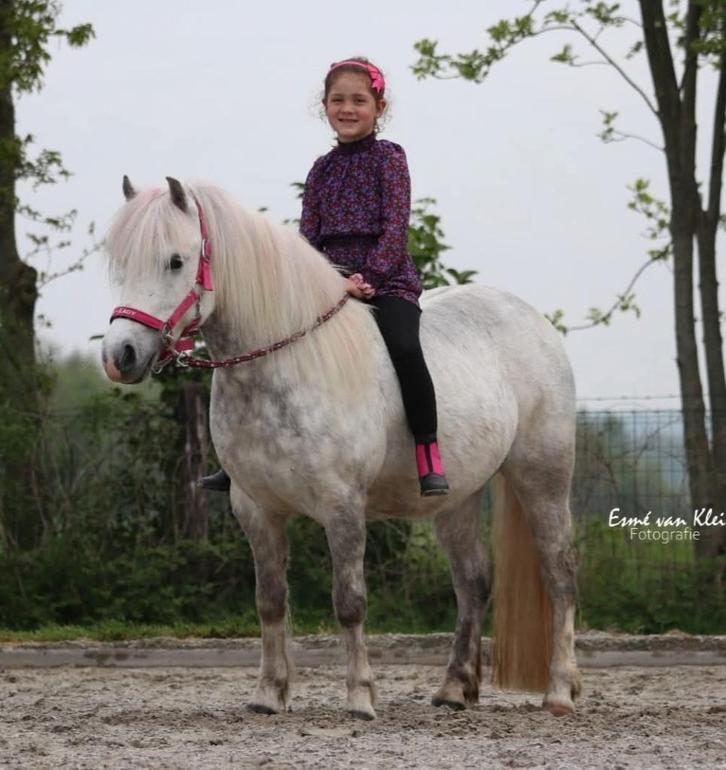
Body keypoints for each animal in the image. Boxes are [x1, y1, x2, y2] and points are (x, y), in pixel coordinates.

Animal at [101, 176, 582, 720]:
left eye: (175, 261)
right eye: (121, 263)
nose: (120, 356)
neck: (285, 363)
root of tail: (534, 321)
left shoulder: (342, 506)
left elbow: (349, 601)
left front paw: (360, 697)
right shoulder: (255, 509)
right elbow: (270, 600)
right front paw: (269, 693)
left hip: (542, 477)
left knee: (559, 574)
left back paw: (559, 690)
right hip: (456, 498)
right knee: (473, 582)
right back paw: (454, 689)